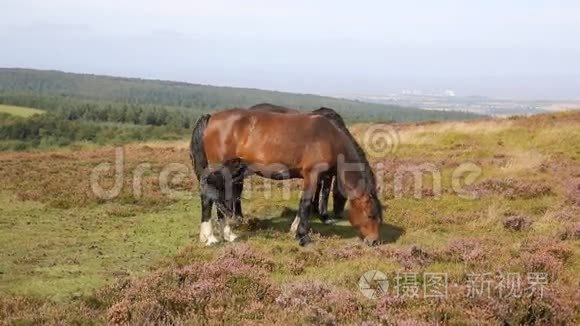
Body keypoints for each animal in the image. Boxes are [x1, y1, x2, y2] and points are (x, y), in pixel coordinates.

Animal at [188, 108, 382, 246]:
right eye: (371, 215)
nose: (375, 241)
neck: (330, 138)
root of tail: (211, 117)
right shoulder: (312, 174)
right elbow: (306, 203)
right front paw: (303, 237)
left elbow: (306, 204)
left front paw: (295, 229)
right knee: (208, 197)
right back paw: (210, 238)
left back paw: (228, 235)